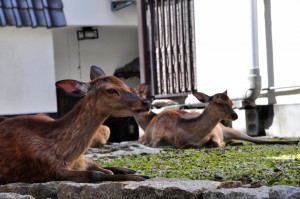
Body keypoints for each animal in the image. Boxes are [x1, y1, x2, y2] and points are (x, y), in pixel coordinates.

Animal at [0, 66, 150, 183]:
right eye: (111, 90)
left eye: (127, 87)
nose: (146, 102)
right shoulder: (49, 169)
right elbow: (96, 174)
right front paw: (140, 177)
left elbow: (101, 169)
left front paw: (132, 172)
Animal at [140, 91, 298, 148]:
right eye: (219, 103)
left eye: (231, 102)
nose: (235, 115)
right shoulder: (156, 139)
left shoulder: (214, 134)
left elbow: (215, 143)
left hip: (228, 129)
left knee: (257, 140)